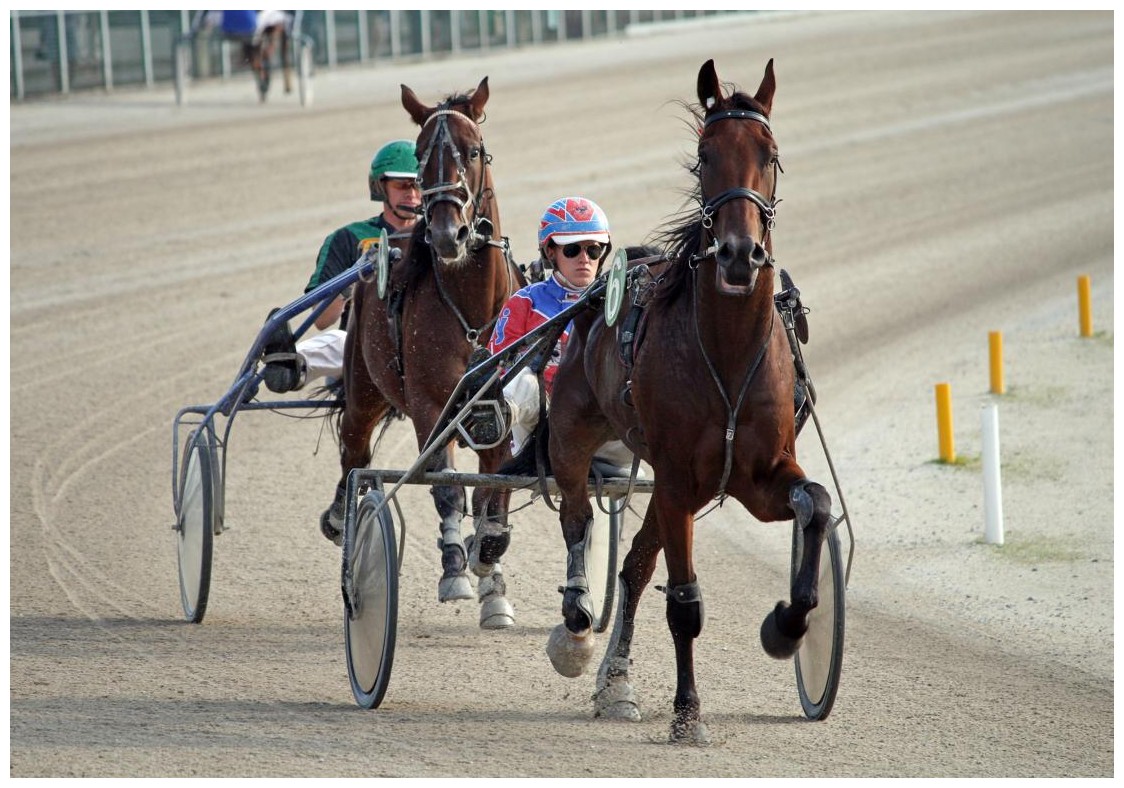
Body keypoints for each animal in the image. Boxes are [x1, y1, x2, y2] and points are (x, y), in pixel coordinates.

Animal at [321, 77, 521, 629]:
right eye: (418, 154)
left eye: (472, 150)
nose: (447, 234)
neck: (472, 307)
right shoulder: (432, 405)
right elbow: (447, 486)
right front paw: (455, 568)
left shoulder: (501, 408)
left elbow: (494, 494)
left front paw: (490, 575)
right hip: (364, 390)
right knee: (354, 453)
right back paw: (342, 516)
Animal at [544, 58, 836, 741]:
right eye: (705, 156)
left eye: (770, 155)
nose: (738, 253)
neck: (724, 356)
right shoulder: (678, 480)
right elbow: (685, 603)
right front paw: (687, 714)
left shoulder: (759, 475)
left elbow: (813, 503)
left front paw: (786, 627)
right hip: (572, 430)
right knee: (578, 517)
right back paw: (576, 625)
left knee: (633, 566)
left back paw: (615, 684)